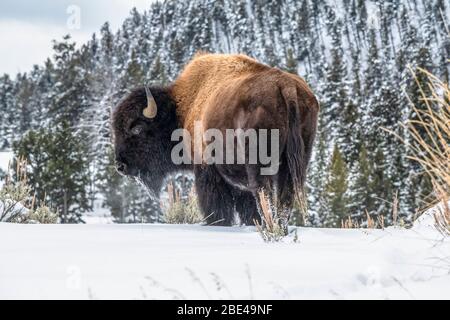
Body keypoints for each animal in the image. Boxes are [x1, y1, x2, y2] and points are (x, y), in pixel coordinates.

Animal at [114, 53, 322, 230]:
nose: (120, 166)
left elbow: (216, 205)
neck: (182, 108)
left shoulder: (207, 170)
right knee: (285, 196)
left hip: (260, 163)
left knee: (265, 194)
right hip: (296, 160)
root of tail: (286, 87)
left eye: (137, 129)